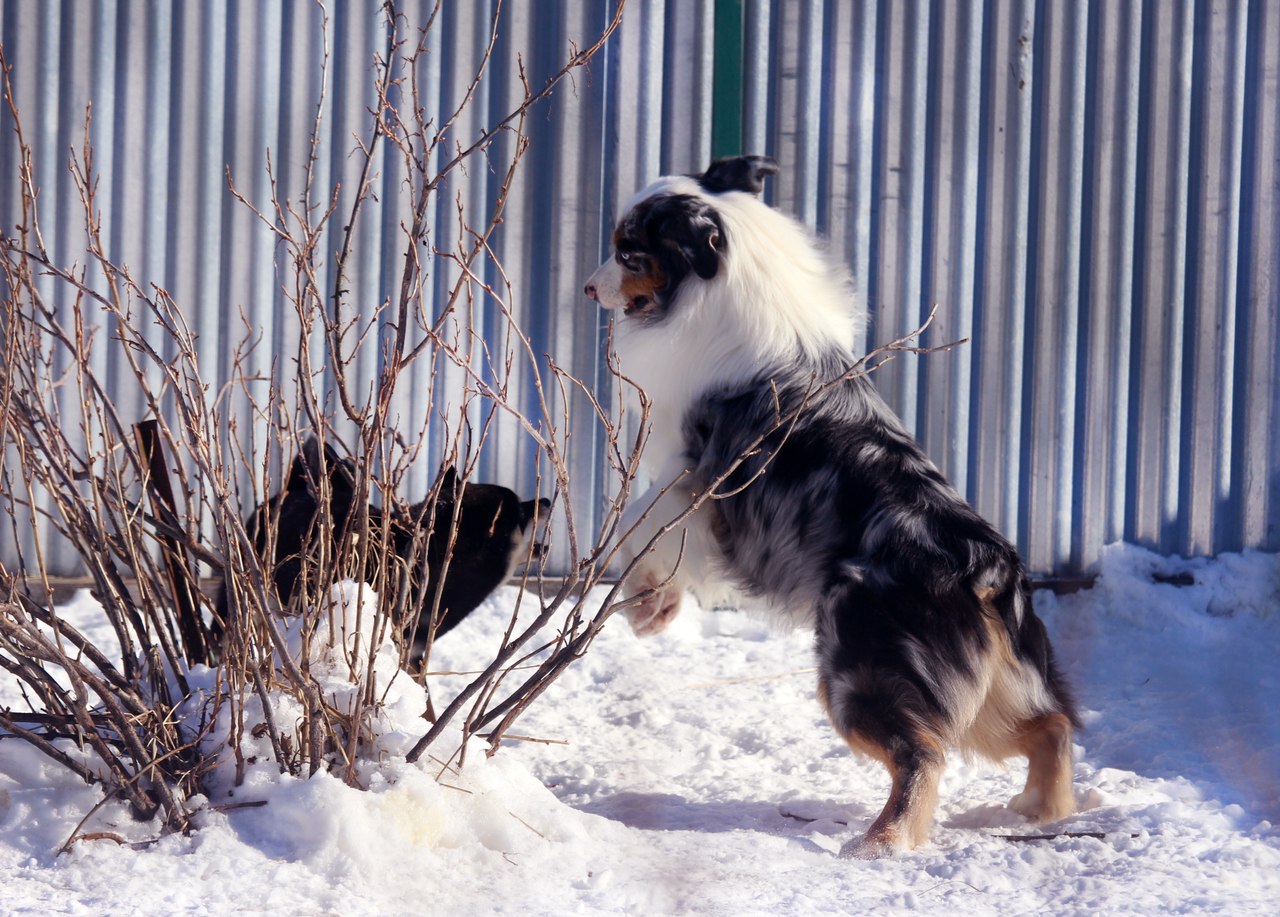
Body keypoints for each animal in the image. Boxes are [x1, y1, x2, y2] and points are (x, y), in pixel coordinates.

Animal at [586, 155, 1080, 850]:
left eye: (628, 251)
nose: (586, 289)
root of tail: (983, 565)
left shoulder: (698, 477)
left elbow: (639, 525)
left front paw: (648, 605)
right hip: (996, 688)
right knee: (1051, 728)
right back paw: (1041, 811)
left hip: (860, 672)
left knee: (923, 754)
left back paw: (878, 846)